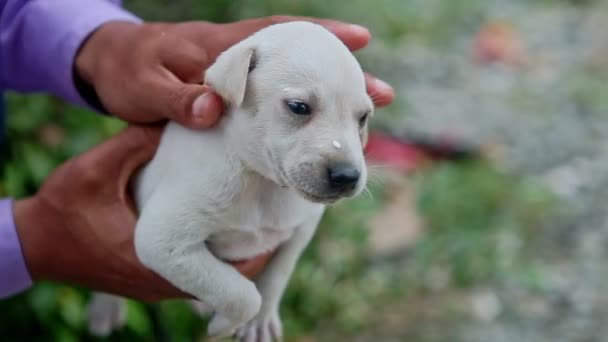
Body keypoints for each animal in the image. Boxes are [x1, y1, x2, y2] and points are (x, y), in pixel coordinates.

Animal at [88, 22, 372, 342]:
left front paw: (259, 322)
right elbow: (241, 294)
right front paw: (222, 325)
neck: (260, 182)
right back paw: (105, 308)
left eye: (363, 117)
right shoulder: (163, 241)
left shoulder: (302, 227)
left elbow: (278, 272)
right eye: (299, 107)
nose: (347, 176)